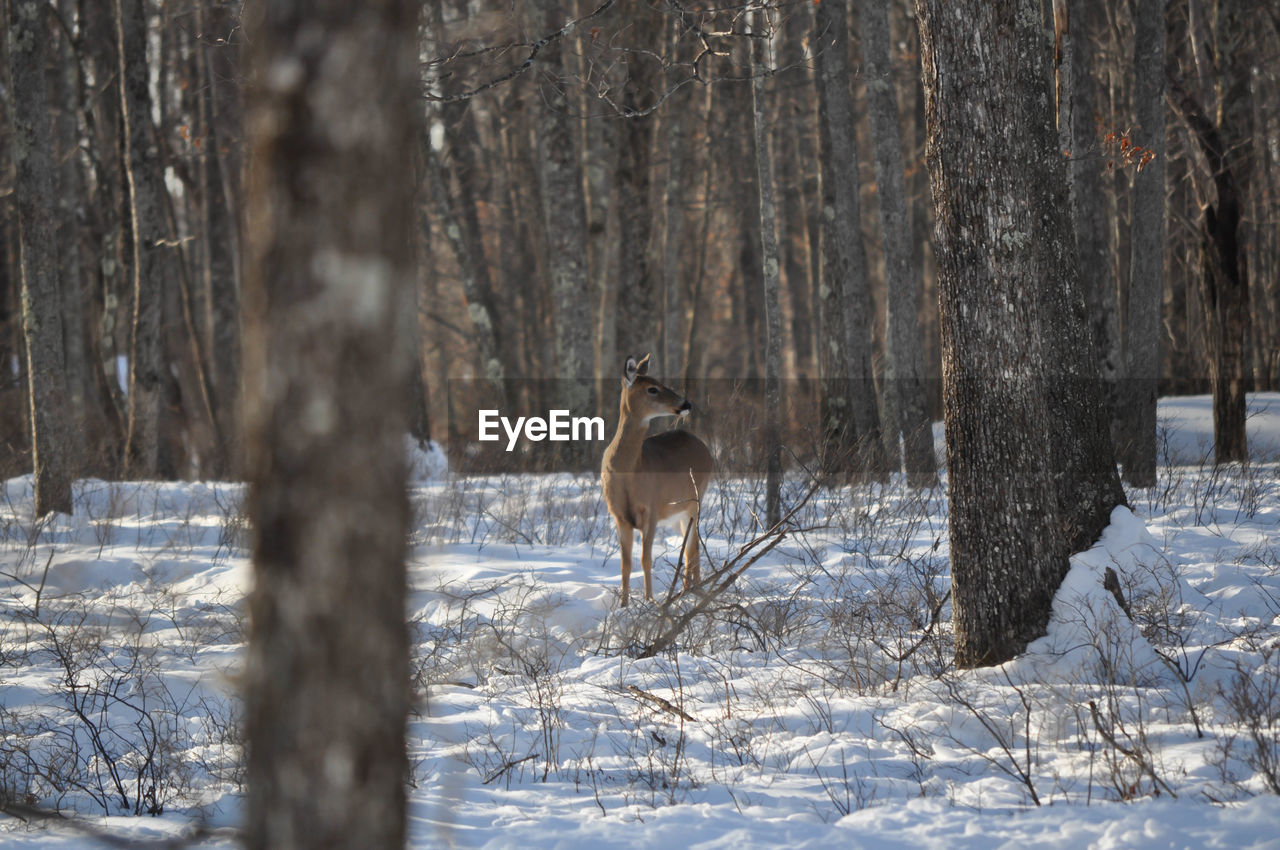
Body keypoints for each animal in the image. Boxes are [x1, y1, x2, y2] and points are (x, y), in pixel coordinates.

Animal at [604, 355, 716, 606]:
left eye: (661, 383)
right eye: (652, 389)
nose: (686, 404)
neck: (630, 470)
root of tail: (704, 446)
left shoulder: (652, 510)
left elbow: (646, 559)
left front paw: (649, 600)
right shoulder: (619, 516)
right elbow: (625, 564)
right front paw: (623, 605)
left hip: (695, 500)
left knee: (692, 547)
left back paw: (691, 591)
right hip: (678, 514)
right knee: (691, 546)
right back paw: (689, 590)